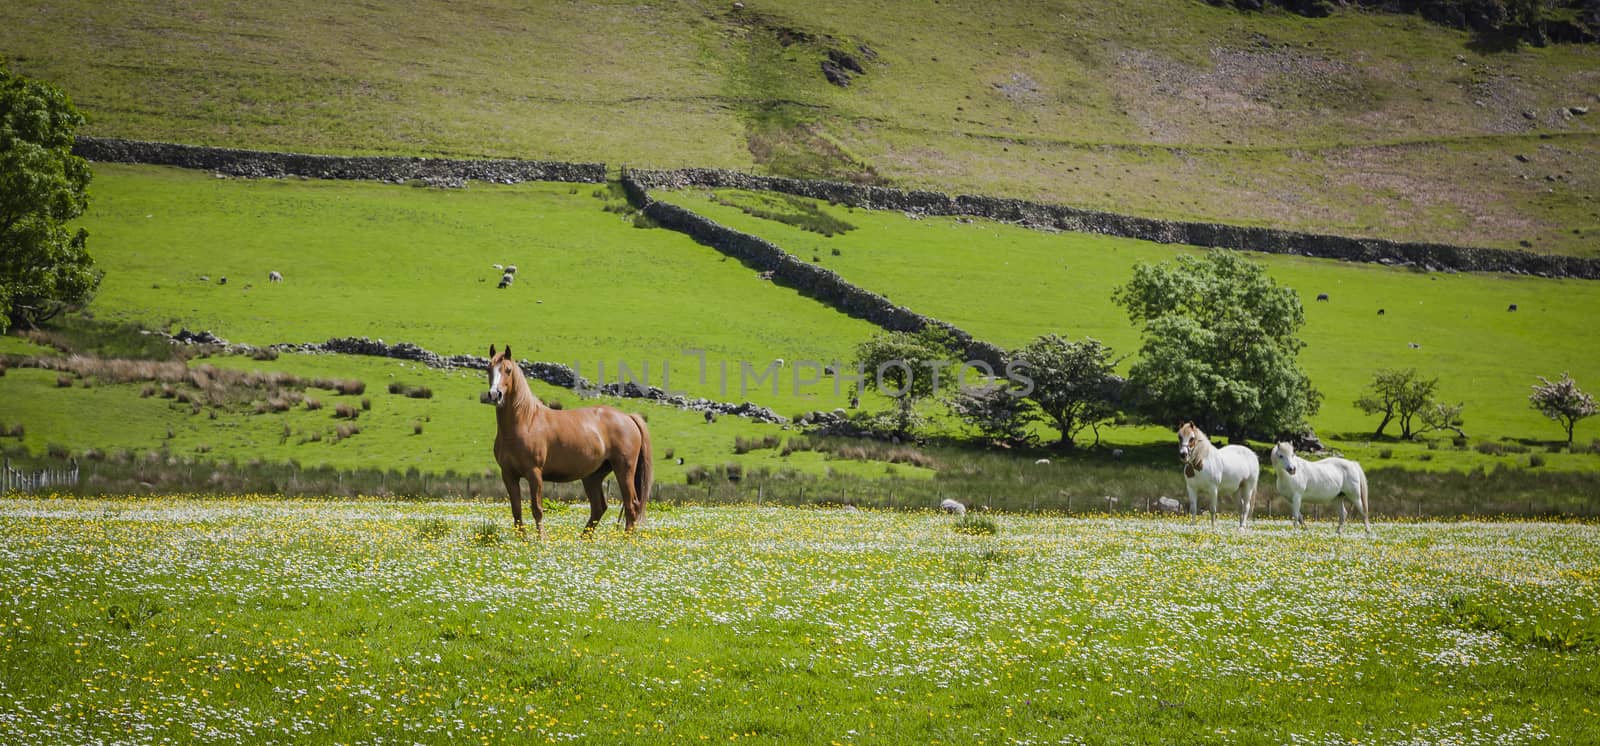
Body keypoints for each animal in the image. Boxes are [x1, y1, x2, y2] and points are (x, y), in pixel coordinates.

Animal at [480, 344, 649, 534]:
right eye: (488, 368)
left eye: (508, 370)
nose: (495, 394)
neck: (525, 421)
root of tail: (628, 417)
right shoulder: (509, 475)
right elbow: (516, 512)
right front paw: (522, 539)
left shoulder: (534, 473)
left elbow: (537, 509)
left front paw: (541, 538)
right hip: (593, 476)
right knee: (599, 507)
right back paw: (584, 538)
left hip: (624, 470)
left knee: (631, 505)